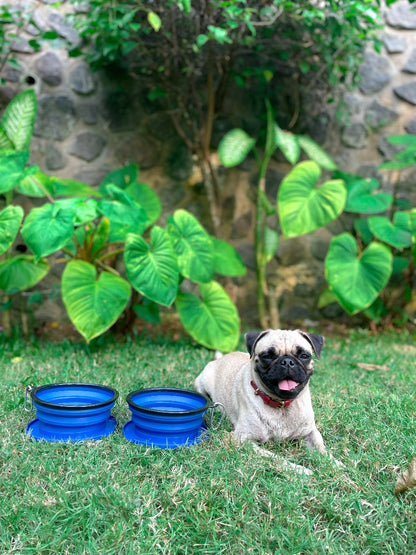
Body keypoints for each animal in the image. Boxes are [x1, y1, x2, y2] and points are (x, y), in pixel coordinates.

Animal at [194, 328, 332, 476]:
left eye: (304, 355)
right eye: (267, 356)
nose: (287, 362)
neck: (281, 404)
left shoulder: (310, 432)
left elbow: (322, 450)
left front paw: (336, 465)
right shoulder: (243, 440)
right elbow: (276, 458)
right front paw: (299, 469)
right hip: (202, 382)